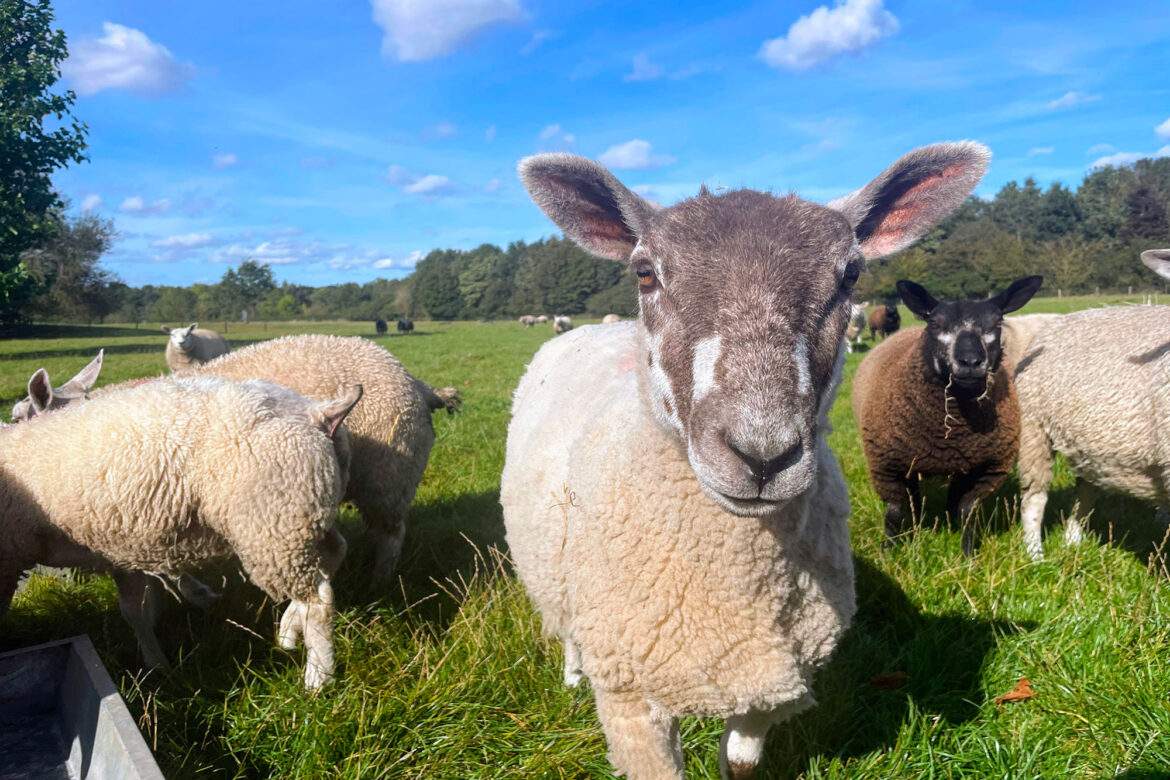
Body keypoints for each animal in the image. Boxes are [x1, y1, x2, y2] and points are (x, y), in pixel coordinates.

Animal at [0, 376, 360, 690]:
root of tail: (318, 412)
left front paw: (157, 664)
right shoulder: (121, 546)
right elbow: (137, 610)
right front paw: (157, 662)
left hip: (272, 523)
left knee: (318, 600)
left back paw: (318, 677)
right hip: (303, 513)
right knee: (335, 553)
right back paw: (288, 631)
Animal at [501, 141, 989, 778]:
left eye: (851, 274)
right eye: (644, 272)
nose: (762, 455)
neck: (733, 589)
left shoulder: (770, 682)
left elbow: (741, 761)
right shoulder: (632, 701)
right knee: (563, 624)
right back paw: (571, 670)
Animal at [852, 277, 1042, 556]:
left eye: (997, 323)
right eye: (935, 323)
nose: (970, 361)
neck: (952, 432)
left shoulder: (985, 470)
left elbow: (968, 512)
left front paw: (967, 554)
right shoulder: (887, 465)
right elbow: (895, 512)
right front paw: (889, 550)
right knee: (912, 498)